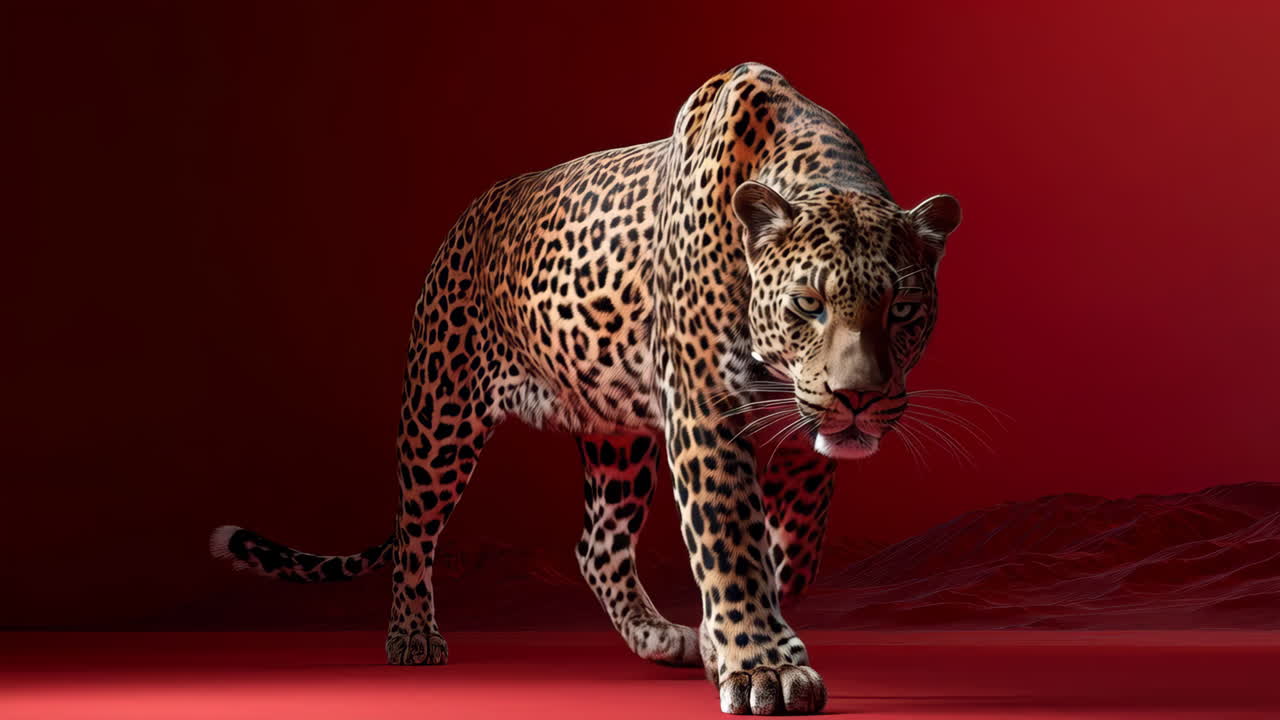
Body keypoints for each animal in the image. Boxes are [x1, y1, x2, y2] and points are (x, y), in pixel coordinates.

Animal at [210, 62, 961, 715]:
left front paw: (725, 646)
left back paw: (659, 636)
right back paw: (412, 635)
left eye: (903, 310)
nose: (858, 398)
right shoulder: (705, 406)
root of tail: (474, 211)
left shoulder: (797, 441)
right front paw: (763, 668)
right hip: (439, 415)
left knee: (597, 546)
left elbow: (793, 546)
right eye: (809, 303)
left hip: (616, 436)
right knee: (415, 529)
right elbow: (731, 535)